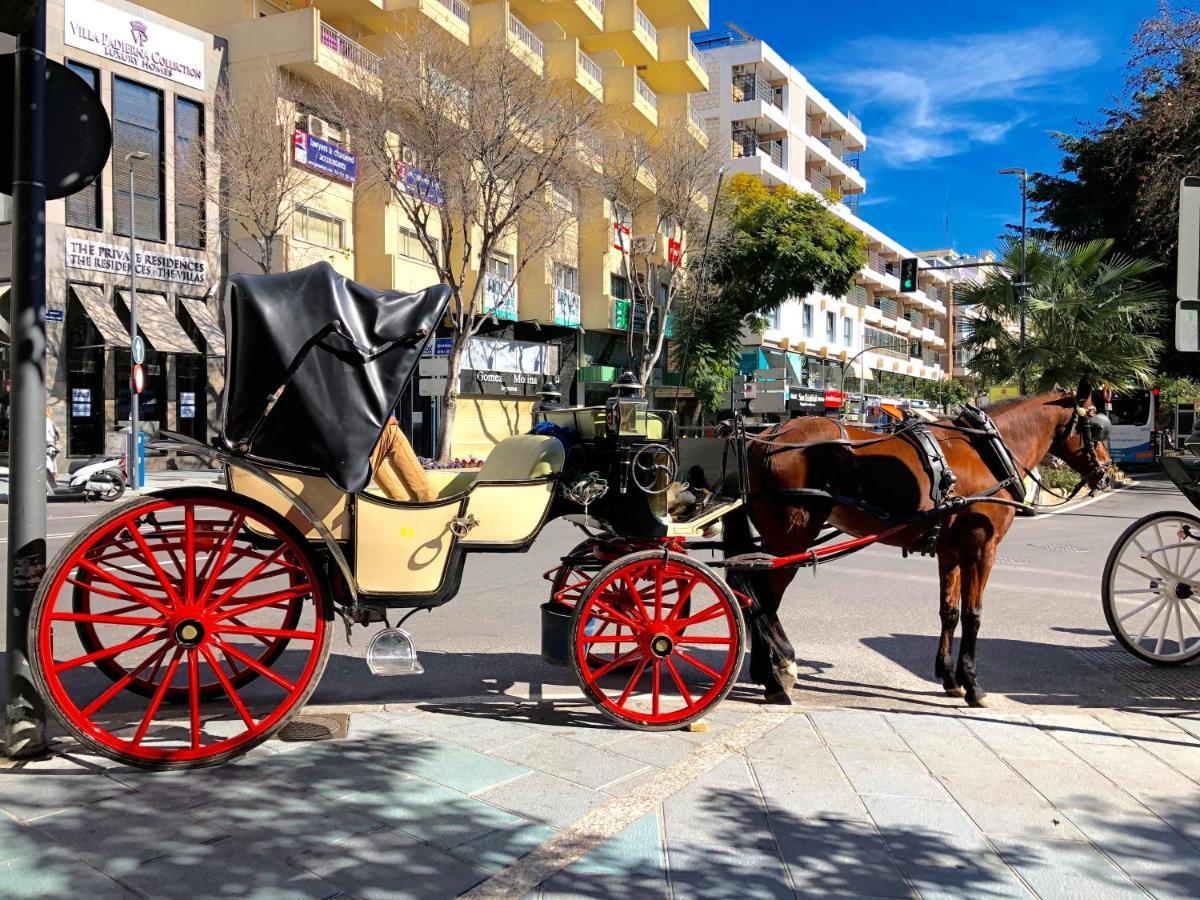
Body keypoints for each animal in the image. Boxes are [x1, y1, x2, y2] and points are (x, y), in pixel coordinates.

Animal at [724, 384, 1108, 710]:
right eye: (1097, 426)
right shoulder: (981, 550)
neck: (988, 452)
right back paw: (779, 673)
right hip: (792, 538)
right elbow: (974, 615)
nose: (1108, 473)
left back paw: (764, 672)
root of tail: (765, 436)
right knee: (762, 598)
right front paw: (973, 685)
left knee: (753, 594)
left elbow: (949, 612)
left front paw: (950, 678)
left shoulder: (951, 552)